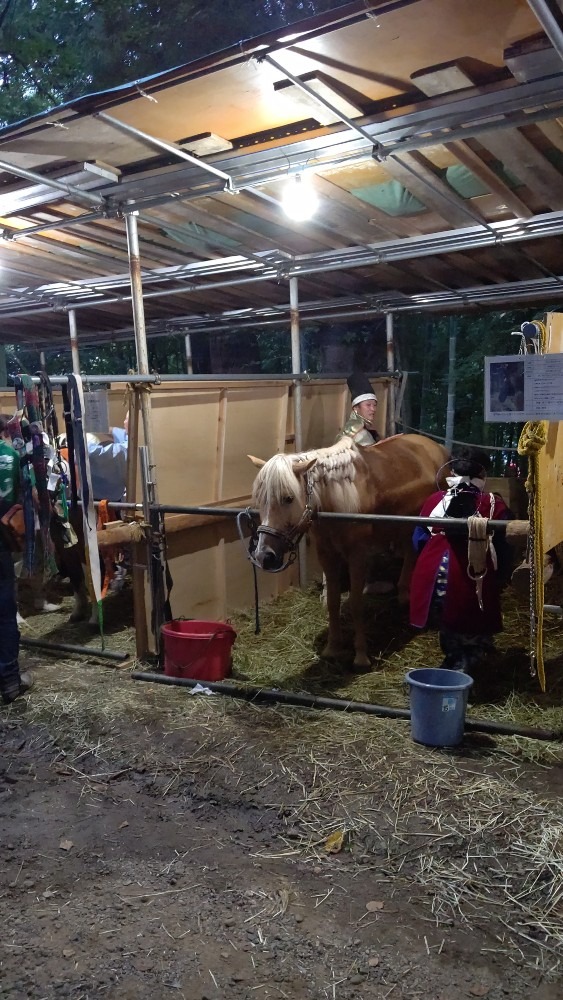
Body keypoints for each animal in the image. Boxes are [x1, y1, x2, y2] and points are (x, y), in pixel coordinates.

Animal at [250, 434, 450, 668]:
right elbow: (332, 601)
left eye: (288, 498)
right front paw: (332, 648)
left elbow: (356, 603)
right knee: (410, 551)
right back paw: (403, 594)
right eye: (260, 499)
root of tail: (436, 446)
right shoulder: (327, 555)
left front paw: (361, 655)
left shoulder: (357, 556)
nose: (264, 556)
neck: (337, 501)